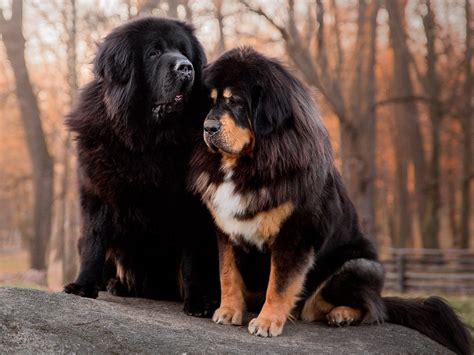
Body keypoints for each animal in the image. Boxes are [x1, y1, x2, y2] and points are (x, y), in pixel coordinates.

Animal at [63, 16, 218, 318]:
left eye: (184, 51)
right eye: (154, 53)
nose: (186, 68)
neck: (148, 139)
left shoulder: (193, 206)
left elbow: (193, 258)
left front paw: (197, 301)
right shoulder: (97, 192)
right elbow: (94, 242)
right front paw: (83, 285)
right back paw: (113, 285)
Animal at [188, 48, 470, 355]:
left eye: (236, 102)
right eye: (211, 102)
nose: (208, 127)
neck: (250, 164)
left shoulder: (295, 233)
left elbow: (279, 283)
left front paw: (266, 322)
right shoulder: (226, 228)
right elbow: (228, 273)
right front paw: (228, 311)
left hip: (357, 266)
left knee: (372, 308)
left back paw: (343, 314)